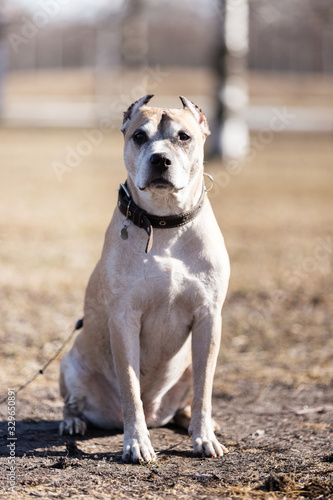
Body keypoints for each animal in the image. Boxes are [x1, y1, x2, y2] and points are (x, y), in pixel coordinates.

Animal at [59, 95, 228, 462]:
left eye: (183, 137)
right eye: (139, 136)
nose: (160, 159)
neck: (164, 222)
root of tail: (156, 414)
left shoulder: (208, 318)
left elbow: (205, 390)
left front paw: (204, 437)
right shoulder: (124, 320)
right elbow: (130, 387)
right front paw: (136, 442)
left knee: (187, 401)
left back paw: (196, 422)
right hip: (71, 365)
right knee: (74, 403)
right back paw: (72, 422)